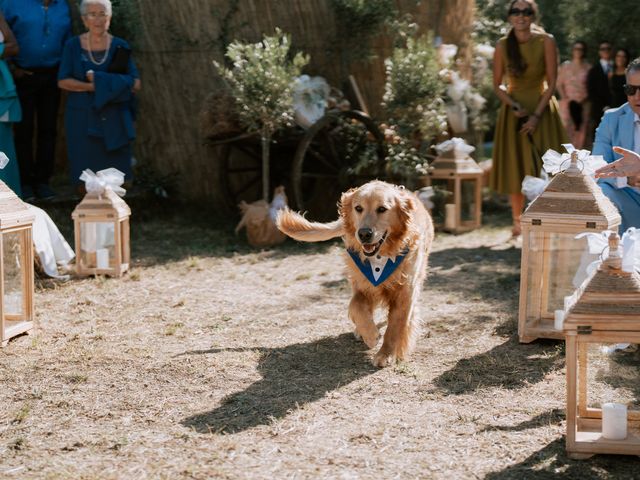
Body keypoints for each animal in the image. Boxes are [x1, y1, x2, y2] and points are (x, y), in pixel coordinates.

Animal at [276, 180, 436, 368]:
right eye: (358, 208)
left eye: (382, 209)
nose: (364, 234)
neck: (381, 257)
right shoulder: (361, 284)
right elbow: (356, 306)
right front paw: (370, 334)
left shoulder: (406, 291)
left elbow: (395, 325)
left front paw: (386, 354)